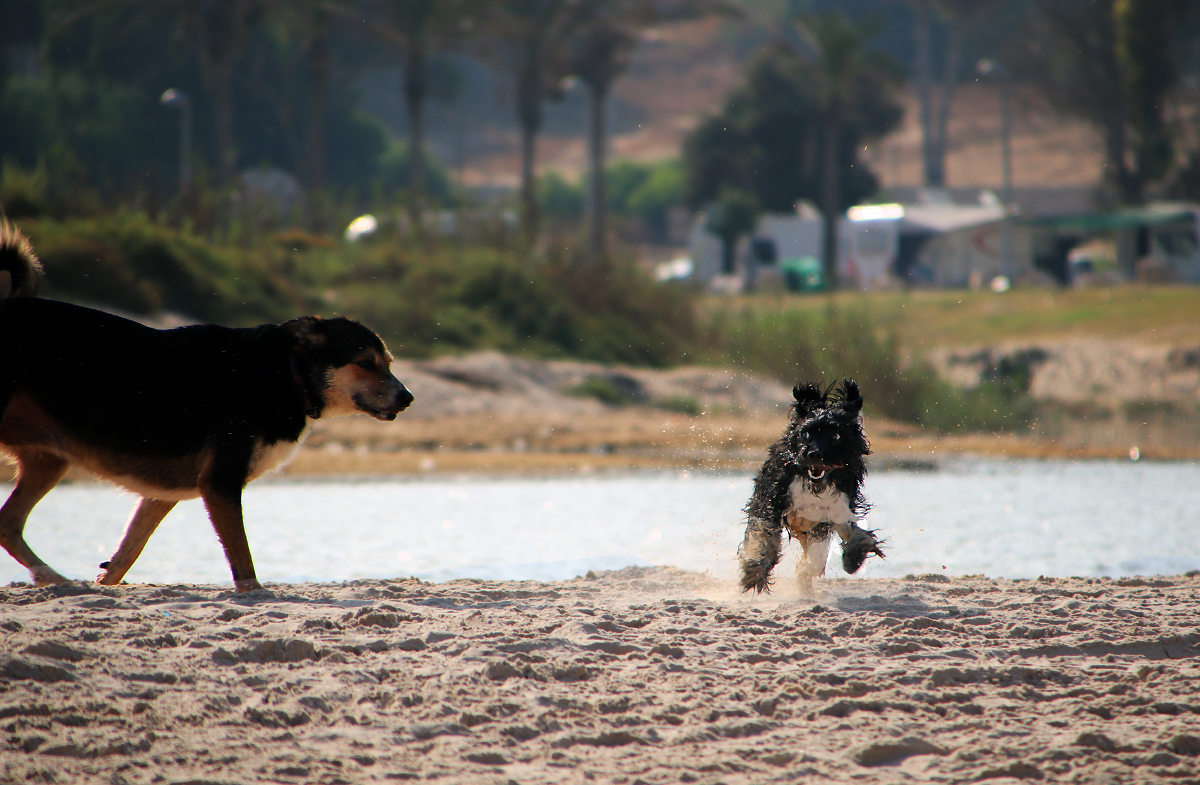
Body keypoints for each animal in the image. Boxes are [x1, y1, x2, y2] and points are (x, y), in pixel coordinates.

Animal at [1, 219, 412, 590]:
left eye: (388, 363)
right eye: (366, 363)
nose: (407, 399)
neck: (286, 374)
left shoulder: (162, 492)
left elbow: (129, 550)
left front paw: (105, 581)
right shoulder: (220, 484)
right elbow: (242, 559)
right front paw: (252, 593)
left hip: (50, 460)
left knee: (9, 524)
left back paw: (53, 578)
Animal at [739, 381, 883, 597]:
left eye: (835, 435)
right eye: (806, 434)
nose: (813, 454)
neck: (813, 484)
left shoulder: (826, 517)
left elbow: (817, 556)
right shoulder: (770, 501)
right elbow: (763, 536)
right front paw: (755, 571)